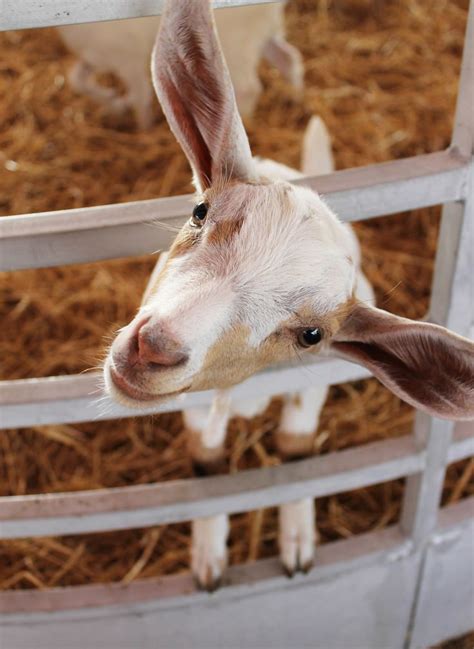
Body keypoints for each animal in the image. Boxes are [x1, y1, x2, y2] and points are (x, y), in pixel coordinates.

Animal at [58, 3, 304, 128]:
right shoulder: (97, 56)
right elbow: (76, 80)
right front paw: (114, 103)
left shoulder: (129, 60)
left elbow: (141, 97)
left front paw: (144, 130)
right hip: (262, 34)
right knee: (289, 59)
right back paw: (299, 101)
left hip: (236, 44)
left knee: (248, 89)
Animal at [103, 0, 474, 588]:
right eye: (200, 211)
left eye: (312, 335)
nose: (153, 347)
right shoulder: (196, 407)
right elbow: (207, 469)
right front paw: (209, 561)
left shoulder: (311, 389)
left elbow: (298, 460)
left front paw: (299, 547)